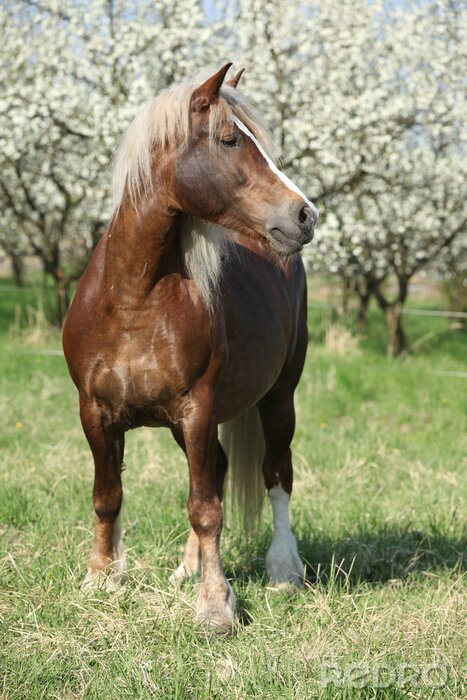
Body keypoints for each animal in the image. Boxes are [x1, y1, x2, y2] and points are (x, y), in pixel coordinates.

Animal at [62, 63, 318, 632]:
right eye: (228, 139)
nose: (306, 215)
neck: (133, 300)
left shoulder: (197, 409)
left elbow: (205, 508)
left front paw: (216, 606)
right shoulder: (96, 414)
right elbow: (107, 497)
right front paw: (100, 579)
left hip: (279, 398)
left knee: (276, 474)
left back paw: (283, 570)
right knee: (220, 469)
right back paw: (186, 569)